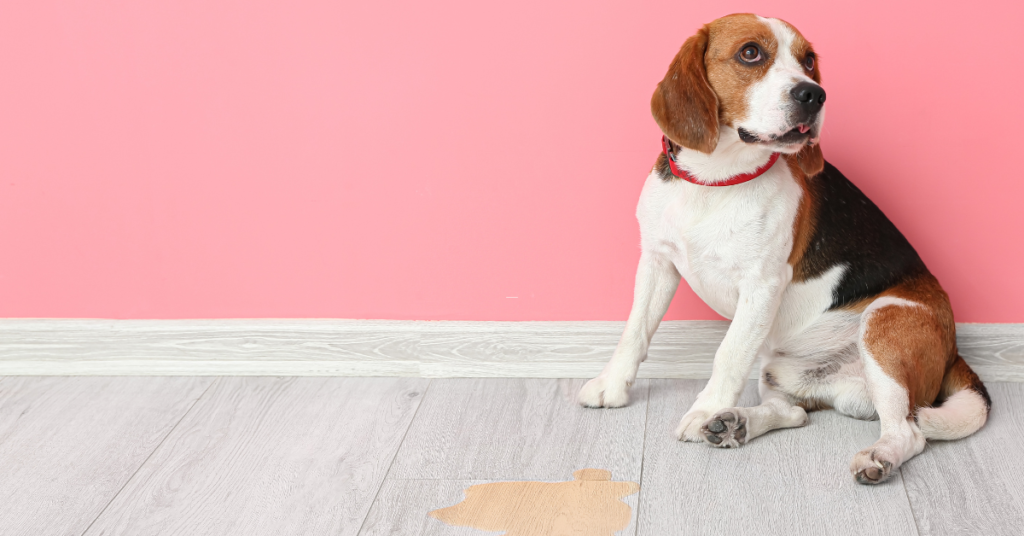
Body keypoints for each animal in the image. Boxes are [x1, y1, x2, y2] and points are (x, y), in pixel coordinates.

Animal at [581, 13, 987, 485]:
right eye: (750, 53)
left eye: (808, 61)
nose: (814, 94)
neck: (715, 180)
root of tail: (954, 350)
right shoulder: (656, 262)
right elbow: (635, 331)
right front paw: (611, 386)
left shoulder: (761, 286)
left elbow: (728, 353)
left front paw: (704, 408)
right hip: (778, 367)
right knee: (793, 413)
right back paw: (736, 422)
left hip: (883, 322)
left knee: (910, 431)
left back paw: (878, 456)